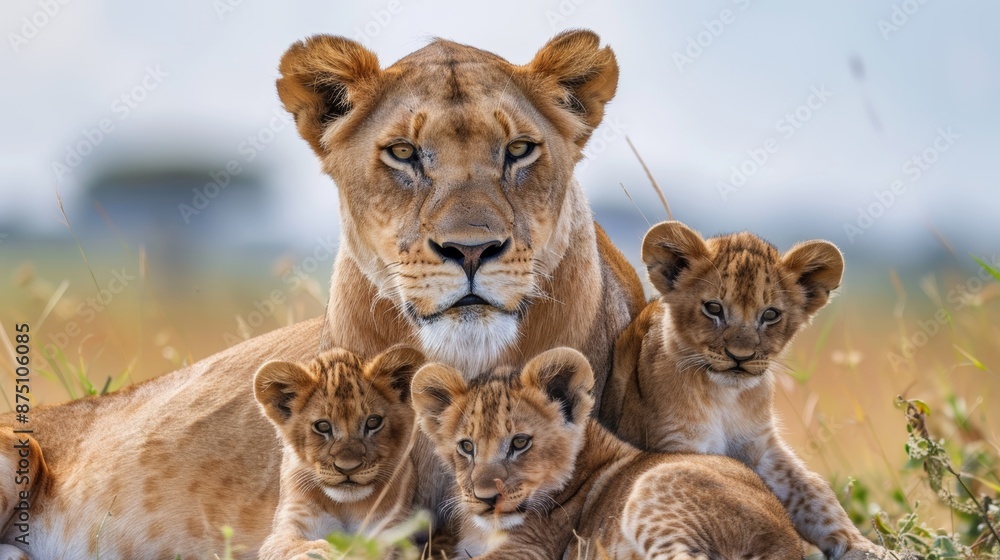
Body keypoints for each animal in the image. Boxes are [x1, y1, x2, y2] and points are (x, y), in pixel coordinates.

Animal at [253, 345, 424, 560]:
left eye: (373, 422)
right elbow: (289, 545)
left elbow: (377, 549)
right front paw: (322, 551)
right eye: (323, 426)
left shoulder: (391, 524)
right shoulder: (292, 520)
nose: (348, 468)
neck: (345, 506)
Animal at [411, 347, 803, 559]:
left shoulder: (530, 551)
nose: (485, 499)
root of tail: (786, 539)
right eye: (466, 447)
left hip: (654, 487)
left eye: (520, 443)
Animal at [600, 221, 884, 559]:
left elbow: (814, 493)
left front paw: (866, 547)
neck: (726, 397)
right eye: (713, 308)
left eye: (770, 314)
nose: (741, 356)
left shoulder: (762, 448)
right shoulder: (679, 446)